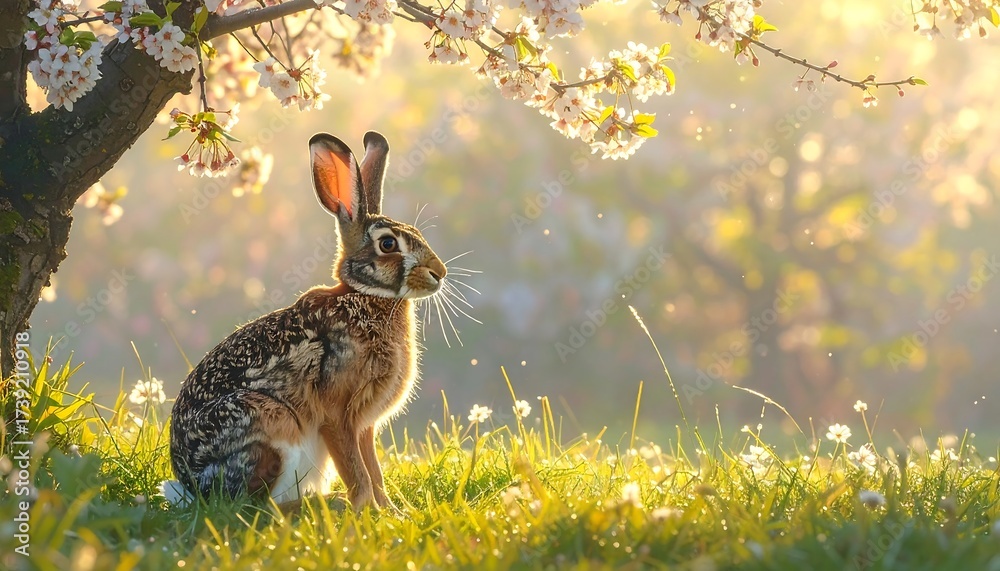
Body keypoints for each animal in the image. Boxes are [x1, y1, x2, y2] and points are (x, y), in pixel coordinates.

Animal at [167, 131, 447, 511]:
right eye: (388, 244)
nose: (440, 273)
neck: (365, 296)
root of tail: (192, 487)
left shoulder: (365, 424)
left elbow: (373, 469)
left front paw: (390, 511)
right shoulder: (337, 416)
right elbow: (357, 472)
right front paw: (364, 510)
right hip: (270, 423)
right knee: (253, 507)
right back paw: (325, 505)